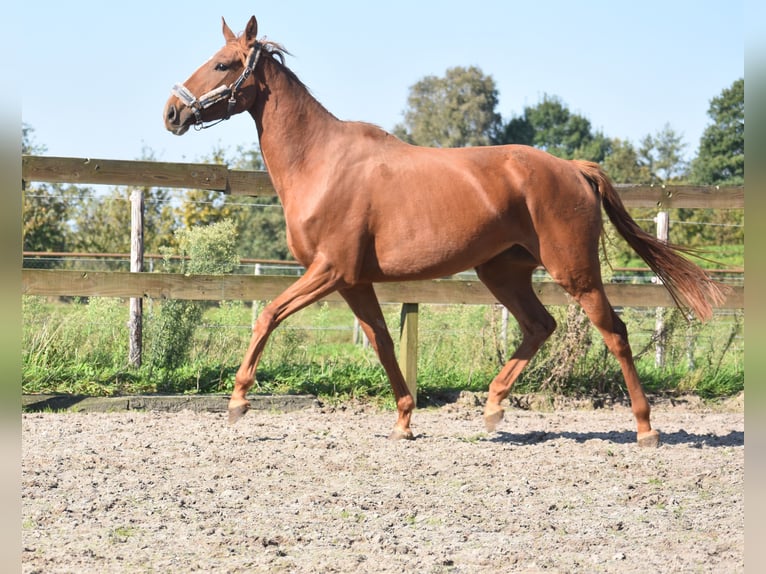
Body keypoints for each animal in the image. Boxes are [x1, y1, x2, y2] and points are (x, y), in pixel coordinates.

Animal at [164, 12, 728, 446]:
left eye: (222, 64)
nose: (171, 112)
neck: (321, 164)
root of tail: (573, 168)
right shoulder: (354, 281)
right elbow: (382, 341)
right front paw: (404, 421)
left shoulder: (330, 271)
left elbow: (268, 317)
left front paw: (238, 402)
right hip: (502, 272)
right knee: (539, 326)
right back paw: (493, 409)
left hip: (575, 272)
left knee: (614, 332)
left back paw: (645, 429)